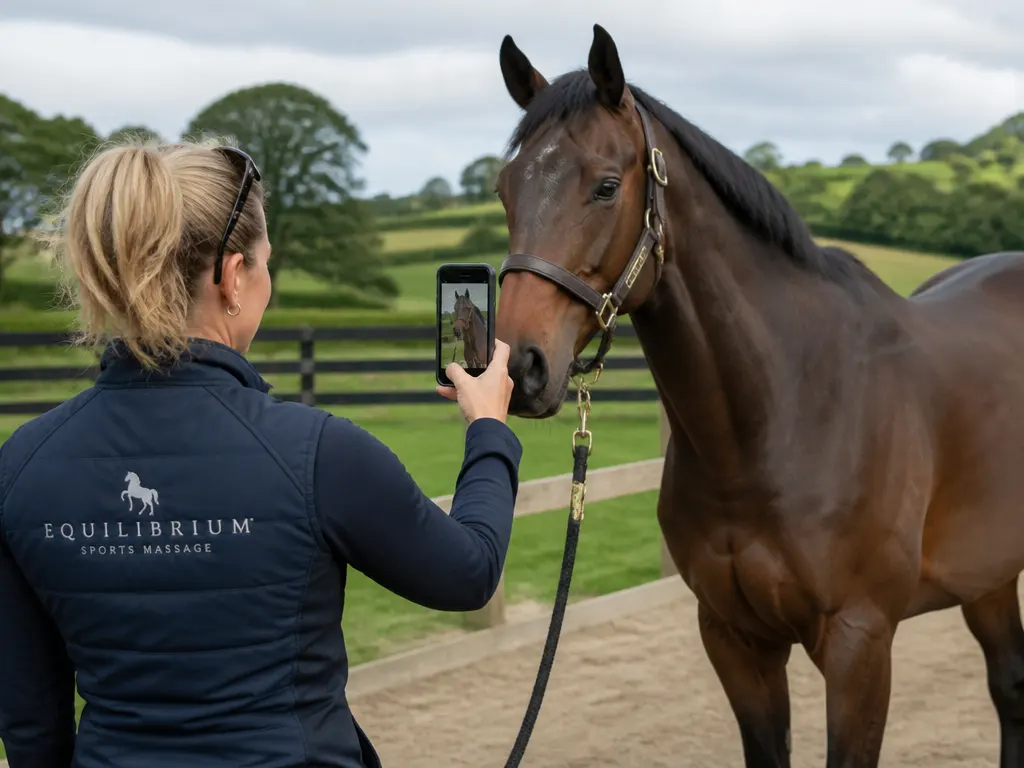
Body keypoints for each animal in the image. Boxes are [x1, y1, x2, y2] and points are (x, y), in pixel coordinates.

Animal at [493, 24, 1024, 768]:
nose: (519, 368)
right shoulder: (735, 639)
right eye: (505, 189)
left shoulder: (860, 643)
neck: (783, 416)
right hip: (990, 574)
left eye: (605, 186)